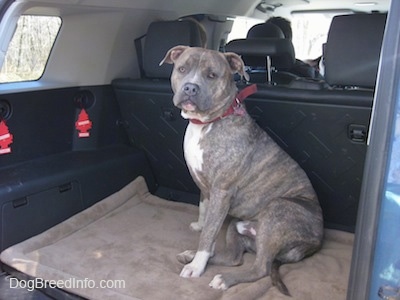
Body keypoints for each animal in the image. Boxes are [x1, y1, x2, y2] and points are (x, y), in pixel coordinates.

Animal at [159, 46, 324, 296]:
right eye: (182, 69)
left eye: (212, 75)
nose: (190, 88)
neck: (208, 123)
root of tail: (315, 243)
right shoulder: (206, 186)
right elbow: (205, 211)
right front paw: (199, 229)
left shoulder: (221, 191)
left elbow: (209, 235)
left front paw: (197, 266)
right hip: (238, 227)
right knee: (235, 258)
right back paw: (195, 258)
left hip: (277, 211)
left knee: (261, 268)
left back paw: (222, 279)